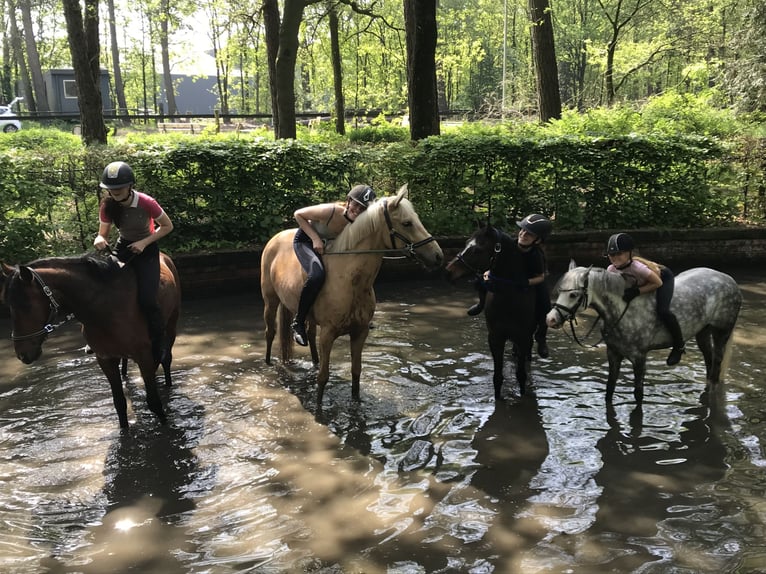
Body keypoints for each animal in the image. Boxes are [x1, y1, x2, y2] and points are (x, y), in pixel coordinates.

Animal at [1, 252, 181, 429]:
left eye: (26, 305)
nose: (22, 354)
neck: (105, 309)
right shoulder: (105, 359)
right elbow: (119, 404)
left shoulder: (143, 356)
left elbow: (154, 403)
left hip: (171, 324)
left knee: (166, 359)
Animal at [260, 184, 444, 407]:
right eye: (407, 223)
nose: (438, 256)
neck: (351, 280)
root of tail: (276, 238)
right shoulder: (328, 334)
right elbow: (323, 377)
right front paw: (319, 408)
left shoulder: (360, 332)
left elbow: (356, 372)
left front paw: (356, 402)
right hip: (270, 301)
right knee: (270, 332)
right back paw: (268, 363)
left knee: (310, 336)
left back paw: (313, 360)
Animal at [445, 224, 538, 399]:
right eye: (466, 242)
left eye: (477, 249)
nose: (448, 271)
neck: (509, 299)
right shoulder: (495, 338)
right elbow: (497, 377)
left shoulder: (523, 338)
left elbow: (521, 375)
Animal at [546, 260, 742, 404]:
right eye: (560, 291)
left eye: (573, 295)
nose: (550, 319)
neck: (622, 309)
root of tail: (729, 279)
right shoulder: (613, 354)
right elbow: (609, 389)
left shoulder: (639, 358)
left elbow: (638, 394)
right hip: (703, 332)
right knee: (709, 362)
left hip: (722, 332)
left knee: (716, 366)